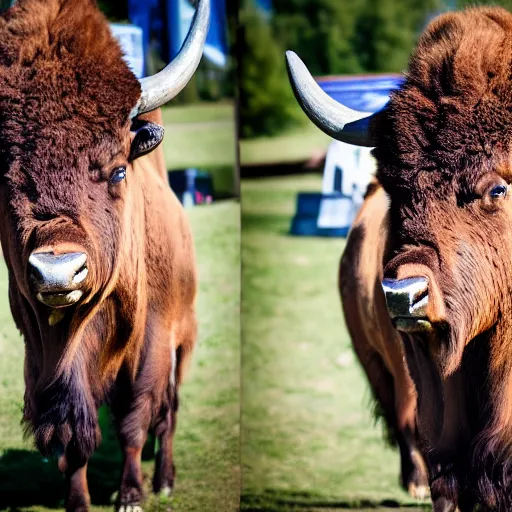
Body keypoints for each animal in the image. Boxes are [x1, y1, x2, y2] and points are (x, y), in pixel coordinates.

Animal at [0, 1, 210, 512]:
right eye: (4, 176)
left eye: (117, 170)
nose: (58, 272)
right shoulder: (41, 358)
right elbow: (73, 438)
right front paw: (78, 501)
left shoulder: (154, 342)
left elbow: (135, 420)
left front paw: (131, 494)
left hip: (183, 339)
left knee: (168, 415)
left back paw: (165, 477)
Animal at [288, 7, 512, 512]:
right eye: (398, 190)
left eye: (498, 187)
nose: (402, 294)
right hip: (375, 360)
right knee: (402, 422)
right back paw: (412, 482)